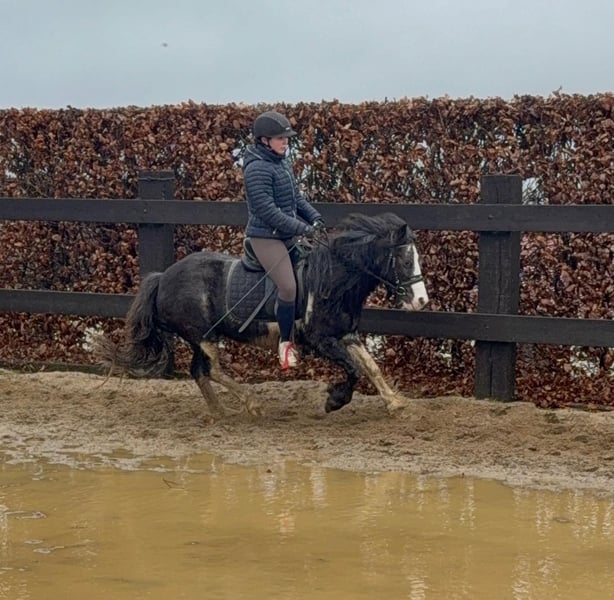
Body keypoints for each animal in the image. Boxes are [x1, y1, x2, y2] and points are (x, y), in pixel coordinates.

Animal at [95, 212, 429, 418]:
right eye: (404, 260)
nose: (421, 301)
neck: (332, 279)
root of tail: (162, 277)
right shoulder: (321, 340)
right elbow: (354, 370)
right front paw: (335, 400)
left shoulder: (346, 335)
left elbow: (371, 367)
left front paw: (396, 404)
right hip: (202, 335)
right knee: (214, 370)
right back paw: (252, 404)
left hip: (198, 338)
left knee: (199, 372)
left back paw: (221, 412)